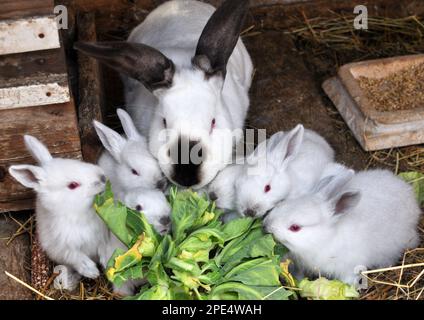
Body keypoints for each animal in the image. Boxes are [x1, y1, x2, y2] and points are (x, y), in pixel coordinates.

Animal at [8, 135, 109, 290]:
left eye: (77, 162)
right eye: (73, 185)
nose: (103, 177)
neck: (77, 215)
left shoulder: (103, 232)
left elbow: (104, 245)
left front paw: (106, 260)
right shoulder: (61, 247)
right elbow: (75, 257)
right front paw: (92, 272)